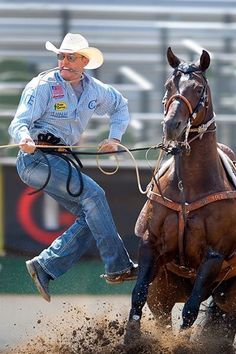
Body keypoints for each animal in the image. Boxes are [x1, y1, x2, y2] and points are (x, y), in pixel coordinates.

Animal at [126, 46, 236, 346]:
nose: (172, 125)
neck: (189, 188)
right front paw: (130, 340)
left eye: (198, 89)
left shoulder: (214, 256)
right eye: (168, 85)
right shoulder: (150, 244)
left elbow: (190, 310)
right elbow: (138, 294)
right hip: (165, 291)